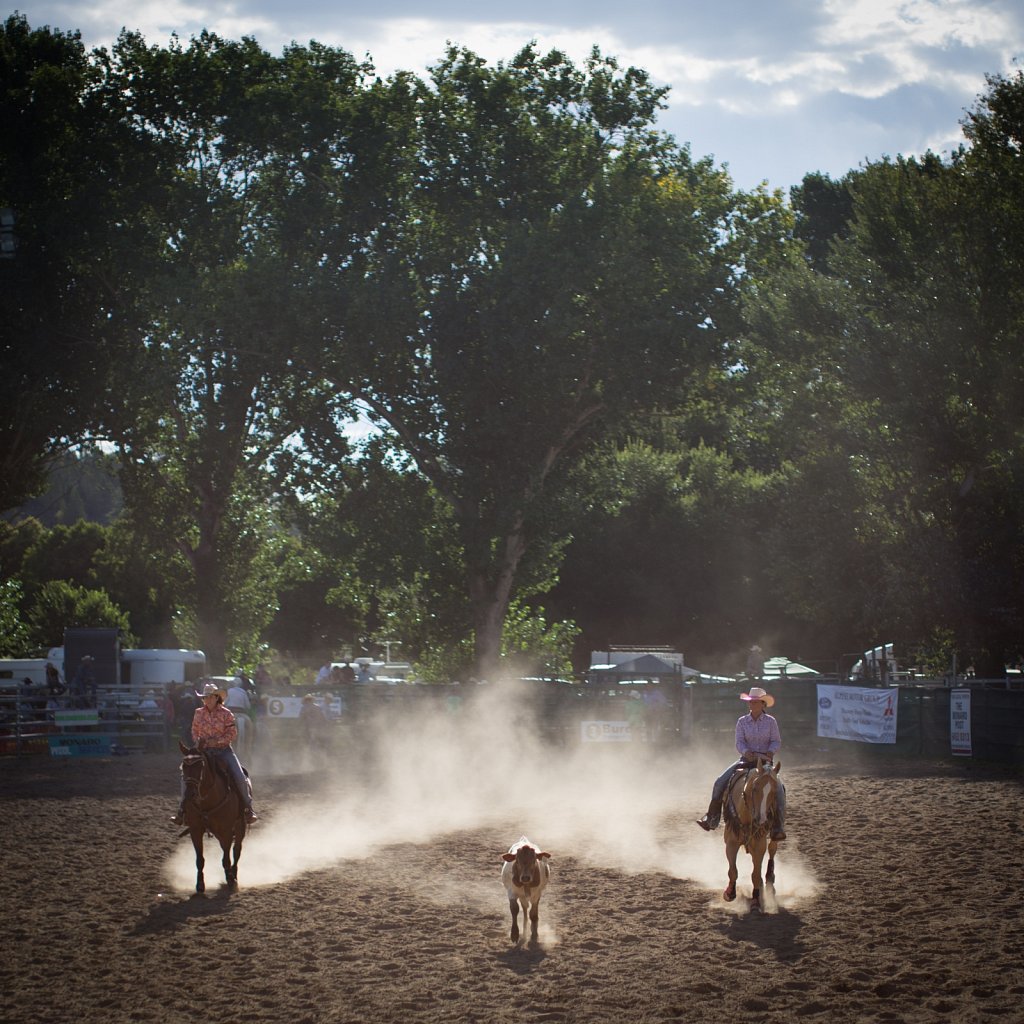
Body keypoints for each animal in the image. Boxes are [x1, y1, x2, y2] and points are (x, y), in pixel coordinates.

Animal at [178, 741, 245, 892]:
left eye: (201, 765)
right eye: (183, 766)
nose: (190, 794)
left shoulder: (226, 831)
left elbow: (226, 858)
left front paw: (230, 880)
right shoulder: (195, 830)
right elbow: (200, 860)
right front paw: (200, 884)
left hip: (239, 826)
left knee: (236, 850)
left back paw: (234, 874)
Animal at [720, 757, 782, 909]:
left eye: (774, 791)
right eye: (754, 788)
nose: (761, 819)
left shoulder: (759, 844)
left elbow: (755, 874)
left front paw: (755, 899)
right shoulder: (731, 842)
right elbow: (733, 871)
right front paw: (730, 893)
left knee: (772, 850)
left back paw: (769, 879)